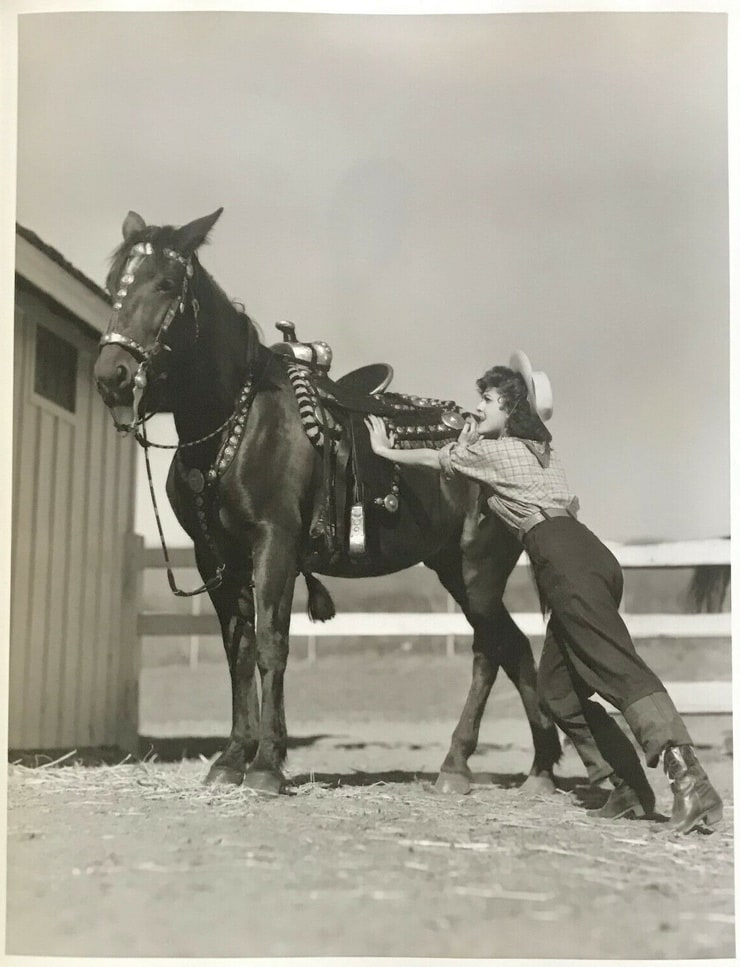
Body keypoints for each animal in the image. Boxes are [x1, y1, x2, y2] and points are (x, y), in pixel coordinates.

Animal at [95, 208, 564, 796]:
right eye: (114, 284)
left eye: (164, 284)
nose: (111, 375)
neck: (240, 421)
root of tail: (517, 435)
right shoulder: (215, 558)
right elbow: (237, 650)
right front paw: (233, 758)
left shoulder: (274, 545)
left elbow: (271, 644)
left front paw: (267, 765)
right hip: (453, 568)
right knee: (513, 647)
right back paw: (536, 768)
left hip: (480, 569)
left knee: (490, 649)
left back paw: (460, 765)